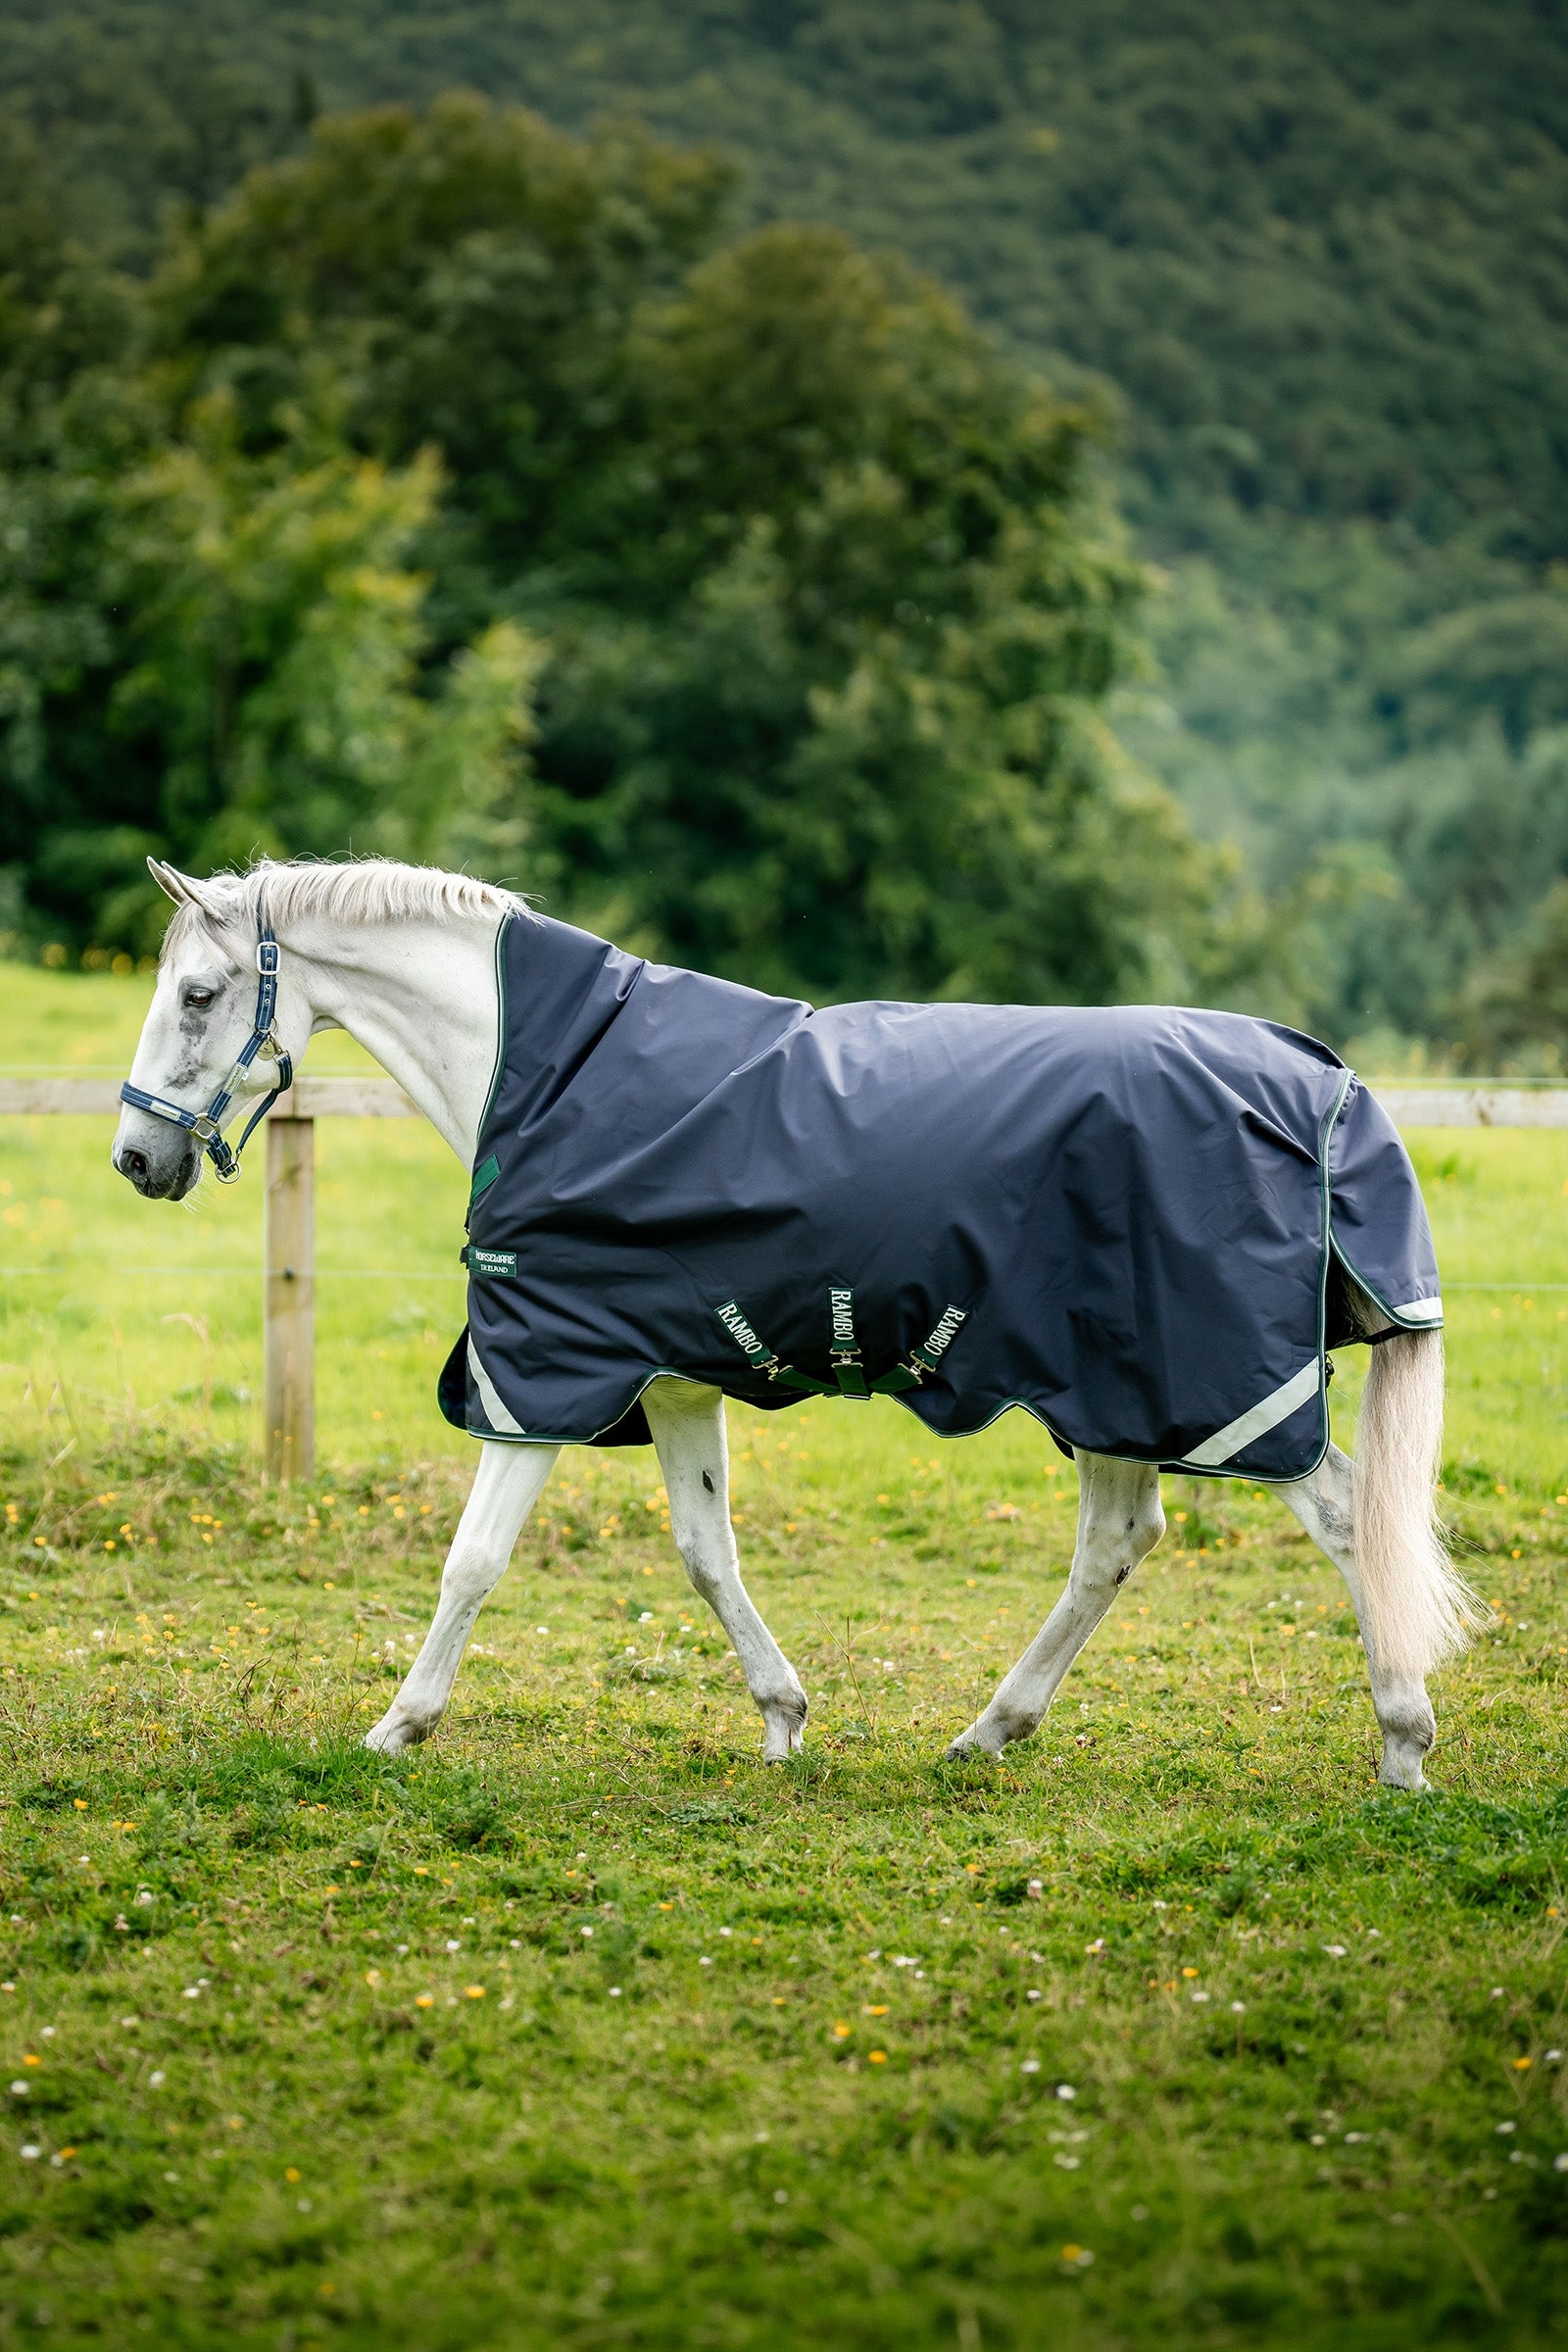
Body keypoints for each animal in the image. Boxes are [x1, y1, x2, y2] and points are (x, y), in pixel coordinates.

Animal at [112, 856, 1477, 1788]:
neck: (550, 1076)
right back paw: (990, 1731)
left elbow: (473, 1560)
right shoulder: (669, 1380)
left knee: (1340, 1518)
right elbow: (705, 1553)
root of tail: (1325, 1083)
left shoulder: (541, 1376)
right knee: (1117, 1545)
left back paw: (1403, 1744)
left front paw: (397, 1726)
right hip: (1110, 1389)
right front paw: (782, 1717)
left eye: (199, 994)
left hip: (1201, 1386)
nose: (134, 1160)